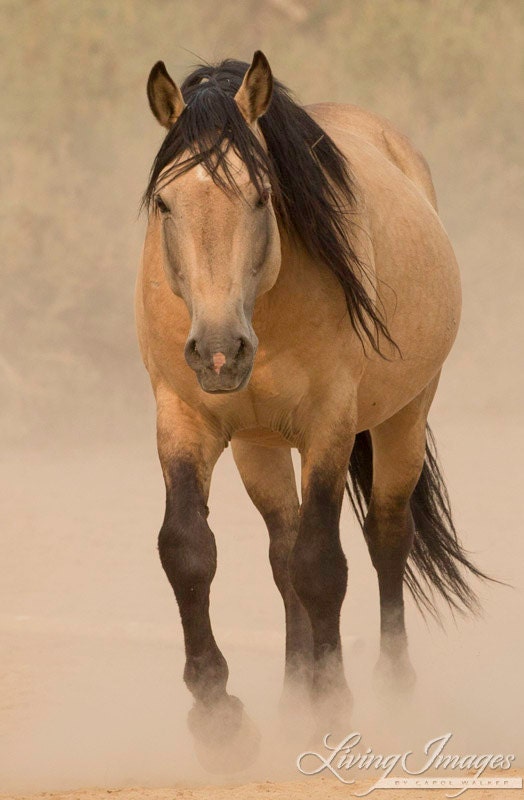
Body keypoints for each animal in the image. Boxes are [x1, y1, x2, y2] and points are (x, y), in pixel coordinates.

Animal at [136, 51, 487, 769]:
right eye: (165, 201)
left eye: (262, 195)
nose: (219, 352)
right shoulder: (184, 419)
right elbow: (188, 549)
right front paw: (219, 717)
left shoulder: (329, 425)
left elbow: (323, 565)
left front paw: (332, 706)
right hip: (259, 445)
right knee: (282, 550)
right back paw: (292, 696)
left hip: (403, 419)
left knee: (386, 538)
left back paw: (392, 690)